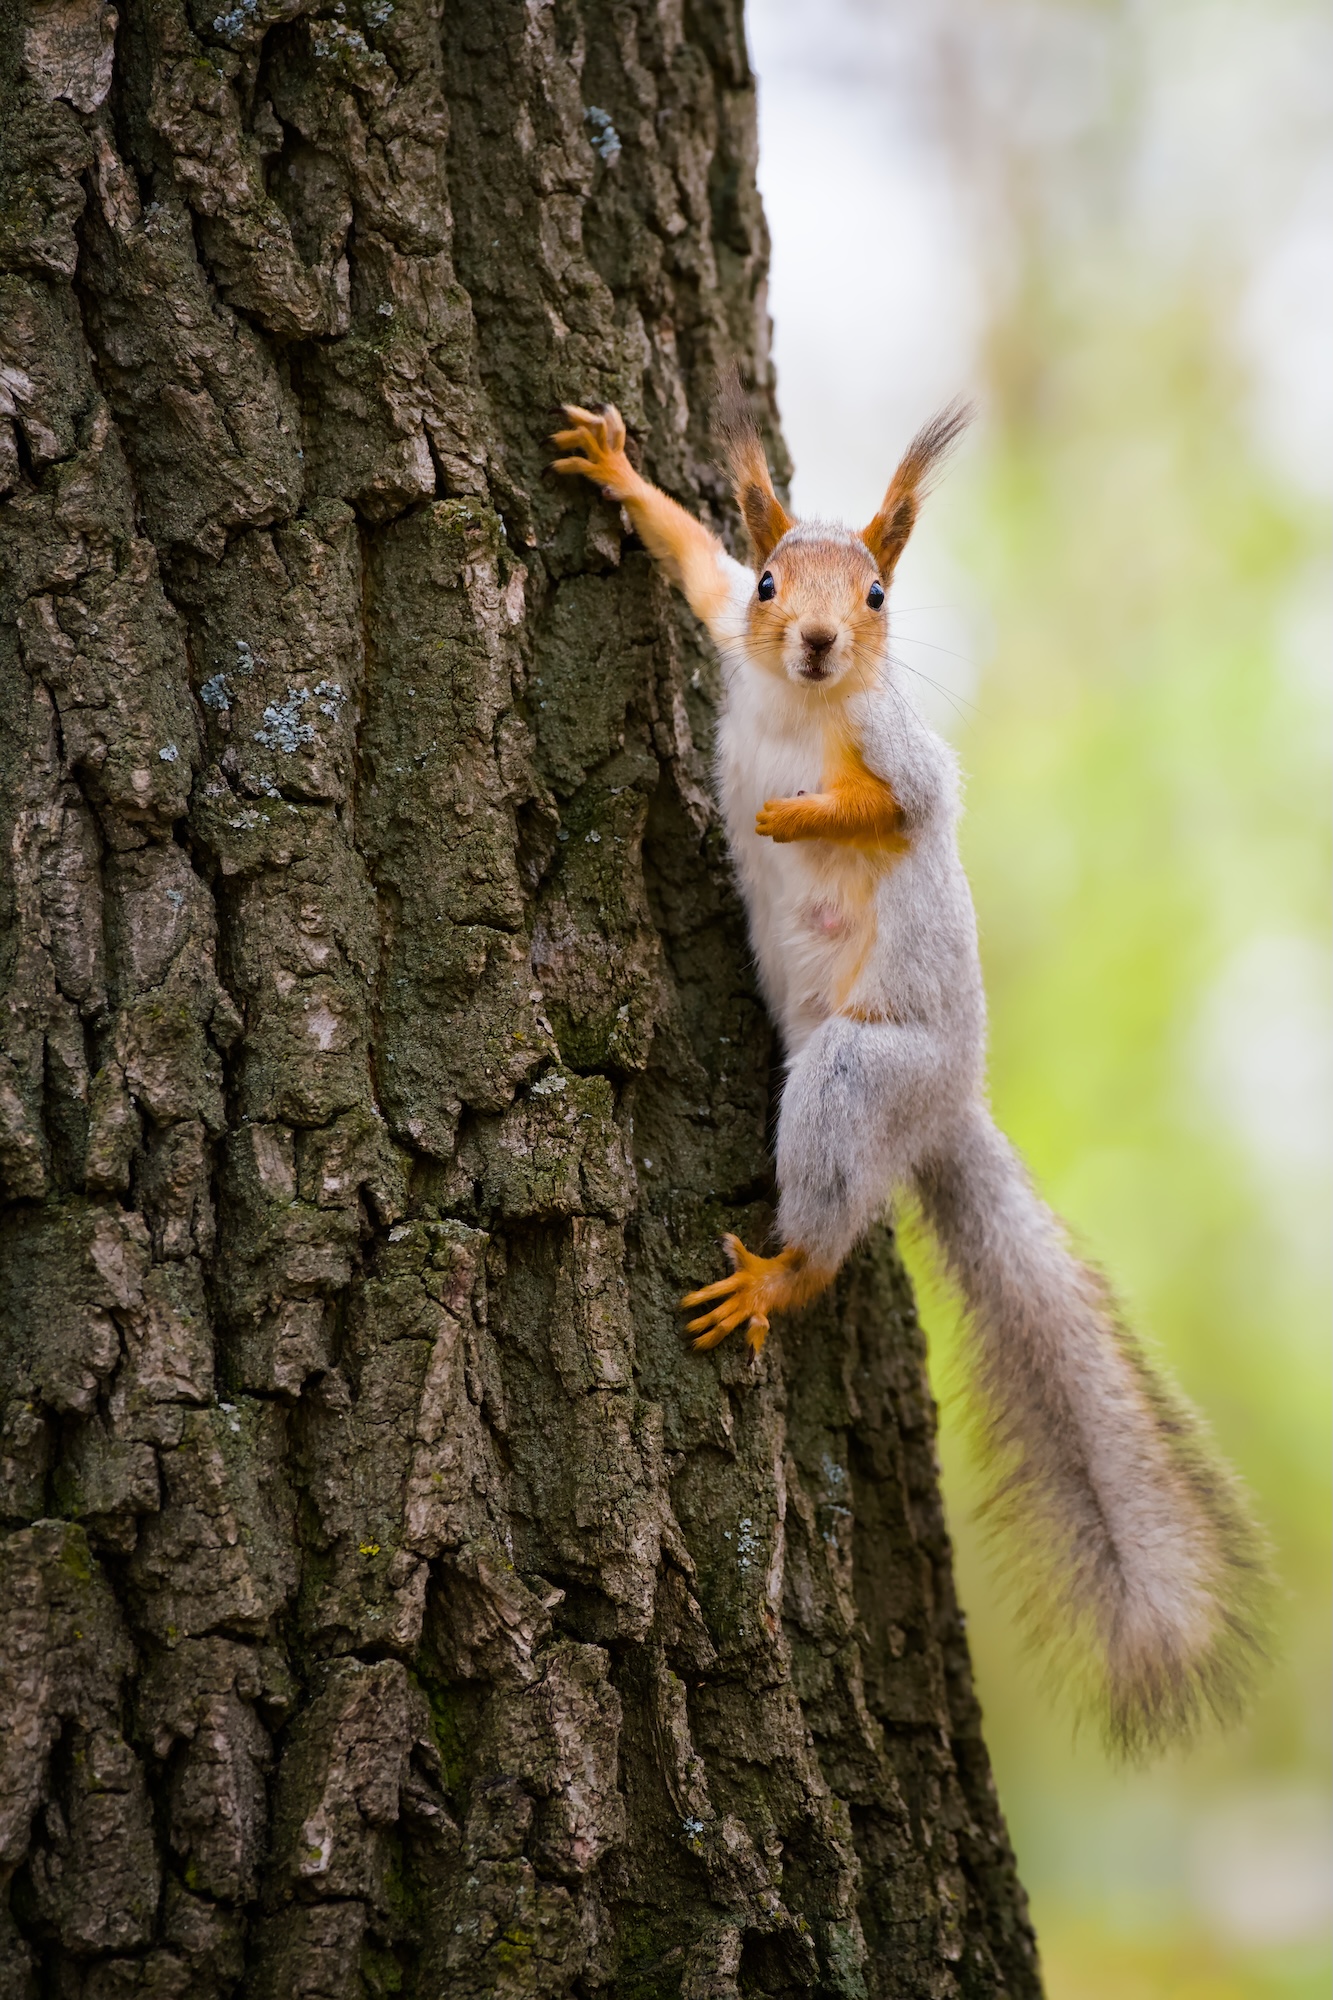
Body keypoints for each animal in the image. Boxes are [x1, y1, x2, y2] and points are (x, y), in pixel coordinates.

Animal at [550, 386, 1269, 1754]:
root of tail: (947, 1108)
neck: (800, 708)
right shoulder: (727, 625)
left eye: (879, 593)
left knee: (831, 1224)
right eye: (773, 579)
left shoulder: (904, 753)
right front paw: (617, 468)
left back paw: (779, 1280)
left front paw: (799, 818)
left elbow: (909, 807)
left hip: (857, 1073)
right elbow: (689, 560)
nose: (819, 641)